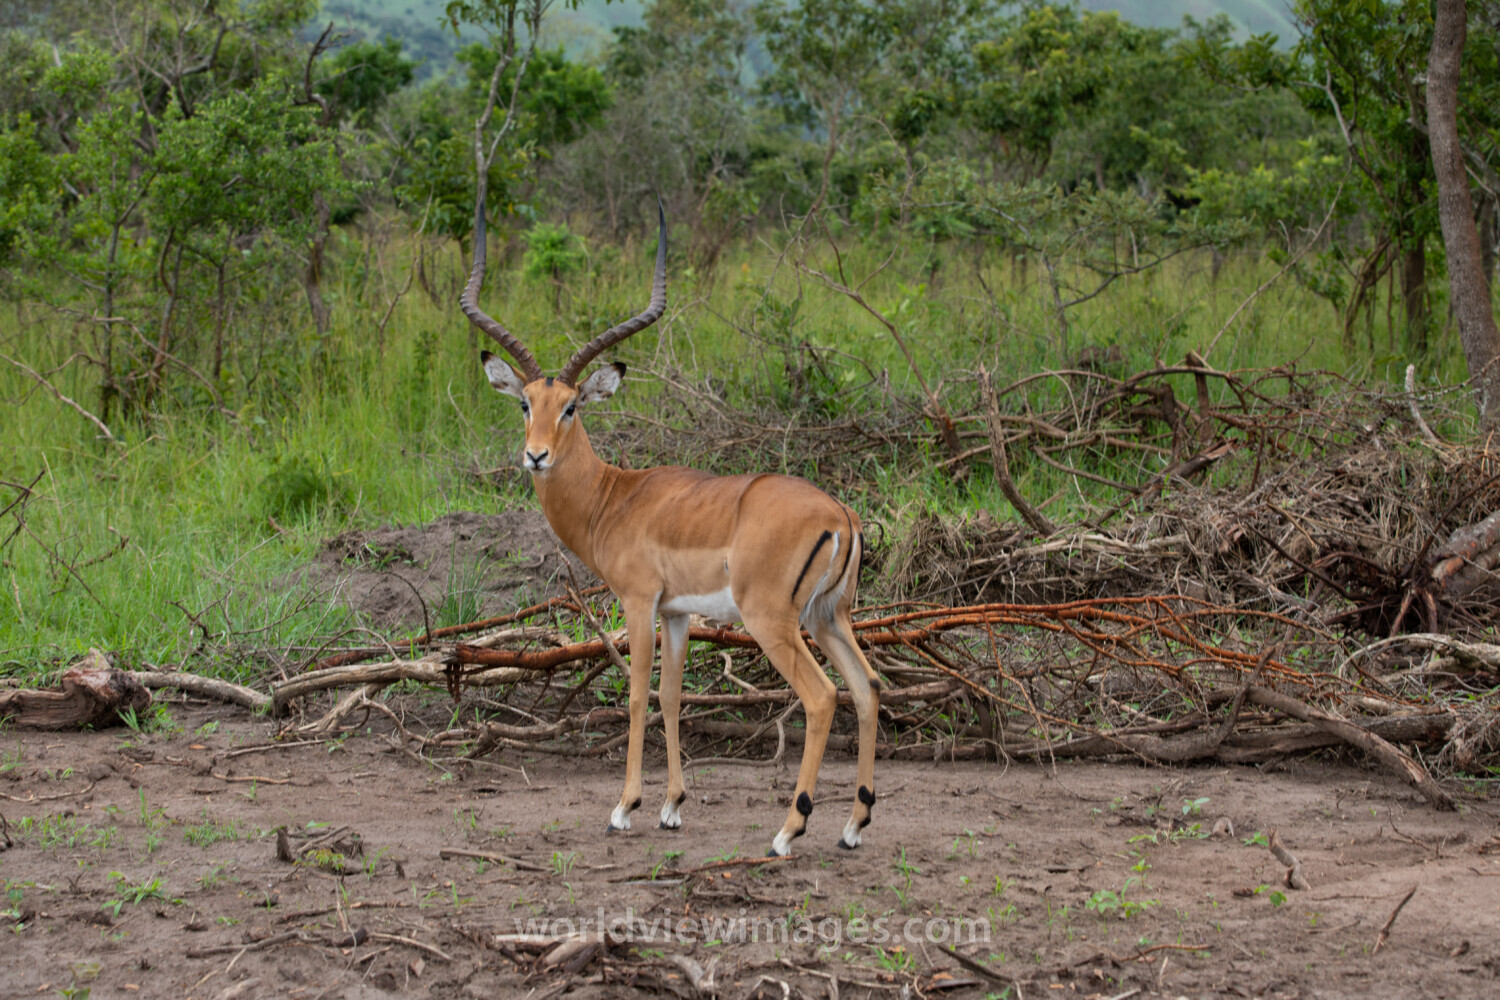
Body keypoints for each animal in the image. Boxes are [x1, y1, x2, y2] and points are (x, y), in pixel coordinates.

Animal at [460, 202, 881, 856]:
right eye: (526, 403)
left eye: (571, 406)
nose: (535, 456)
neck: (614, 497)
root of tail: (840, 515)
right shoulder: (678, 613)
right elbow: (672, 694)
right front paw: (672, 806)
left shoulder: (637, 602)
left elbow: (636, 693)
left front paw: (624, 807)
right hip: (828, 616)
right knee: (867, 689)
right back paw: (853, 826)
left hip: (774, 621)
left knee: (821, 696)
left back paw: (788, 831)